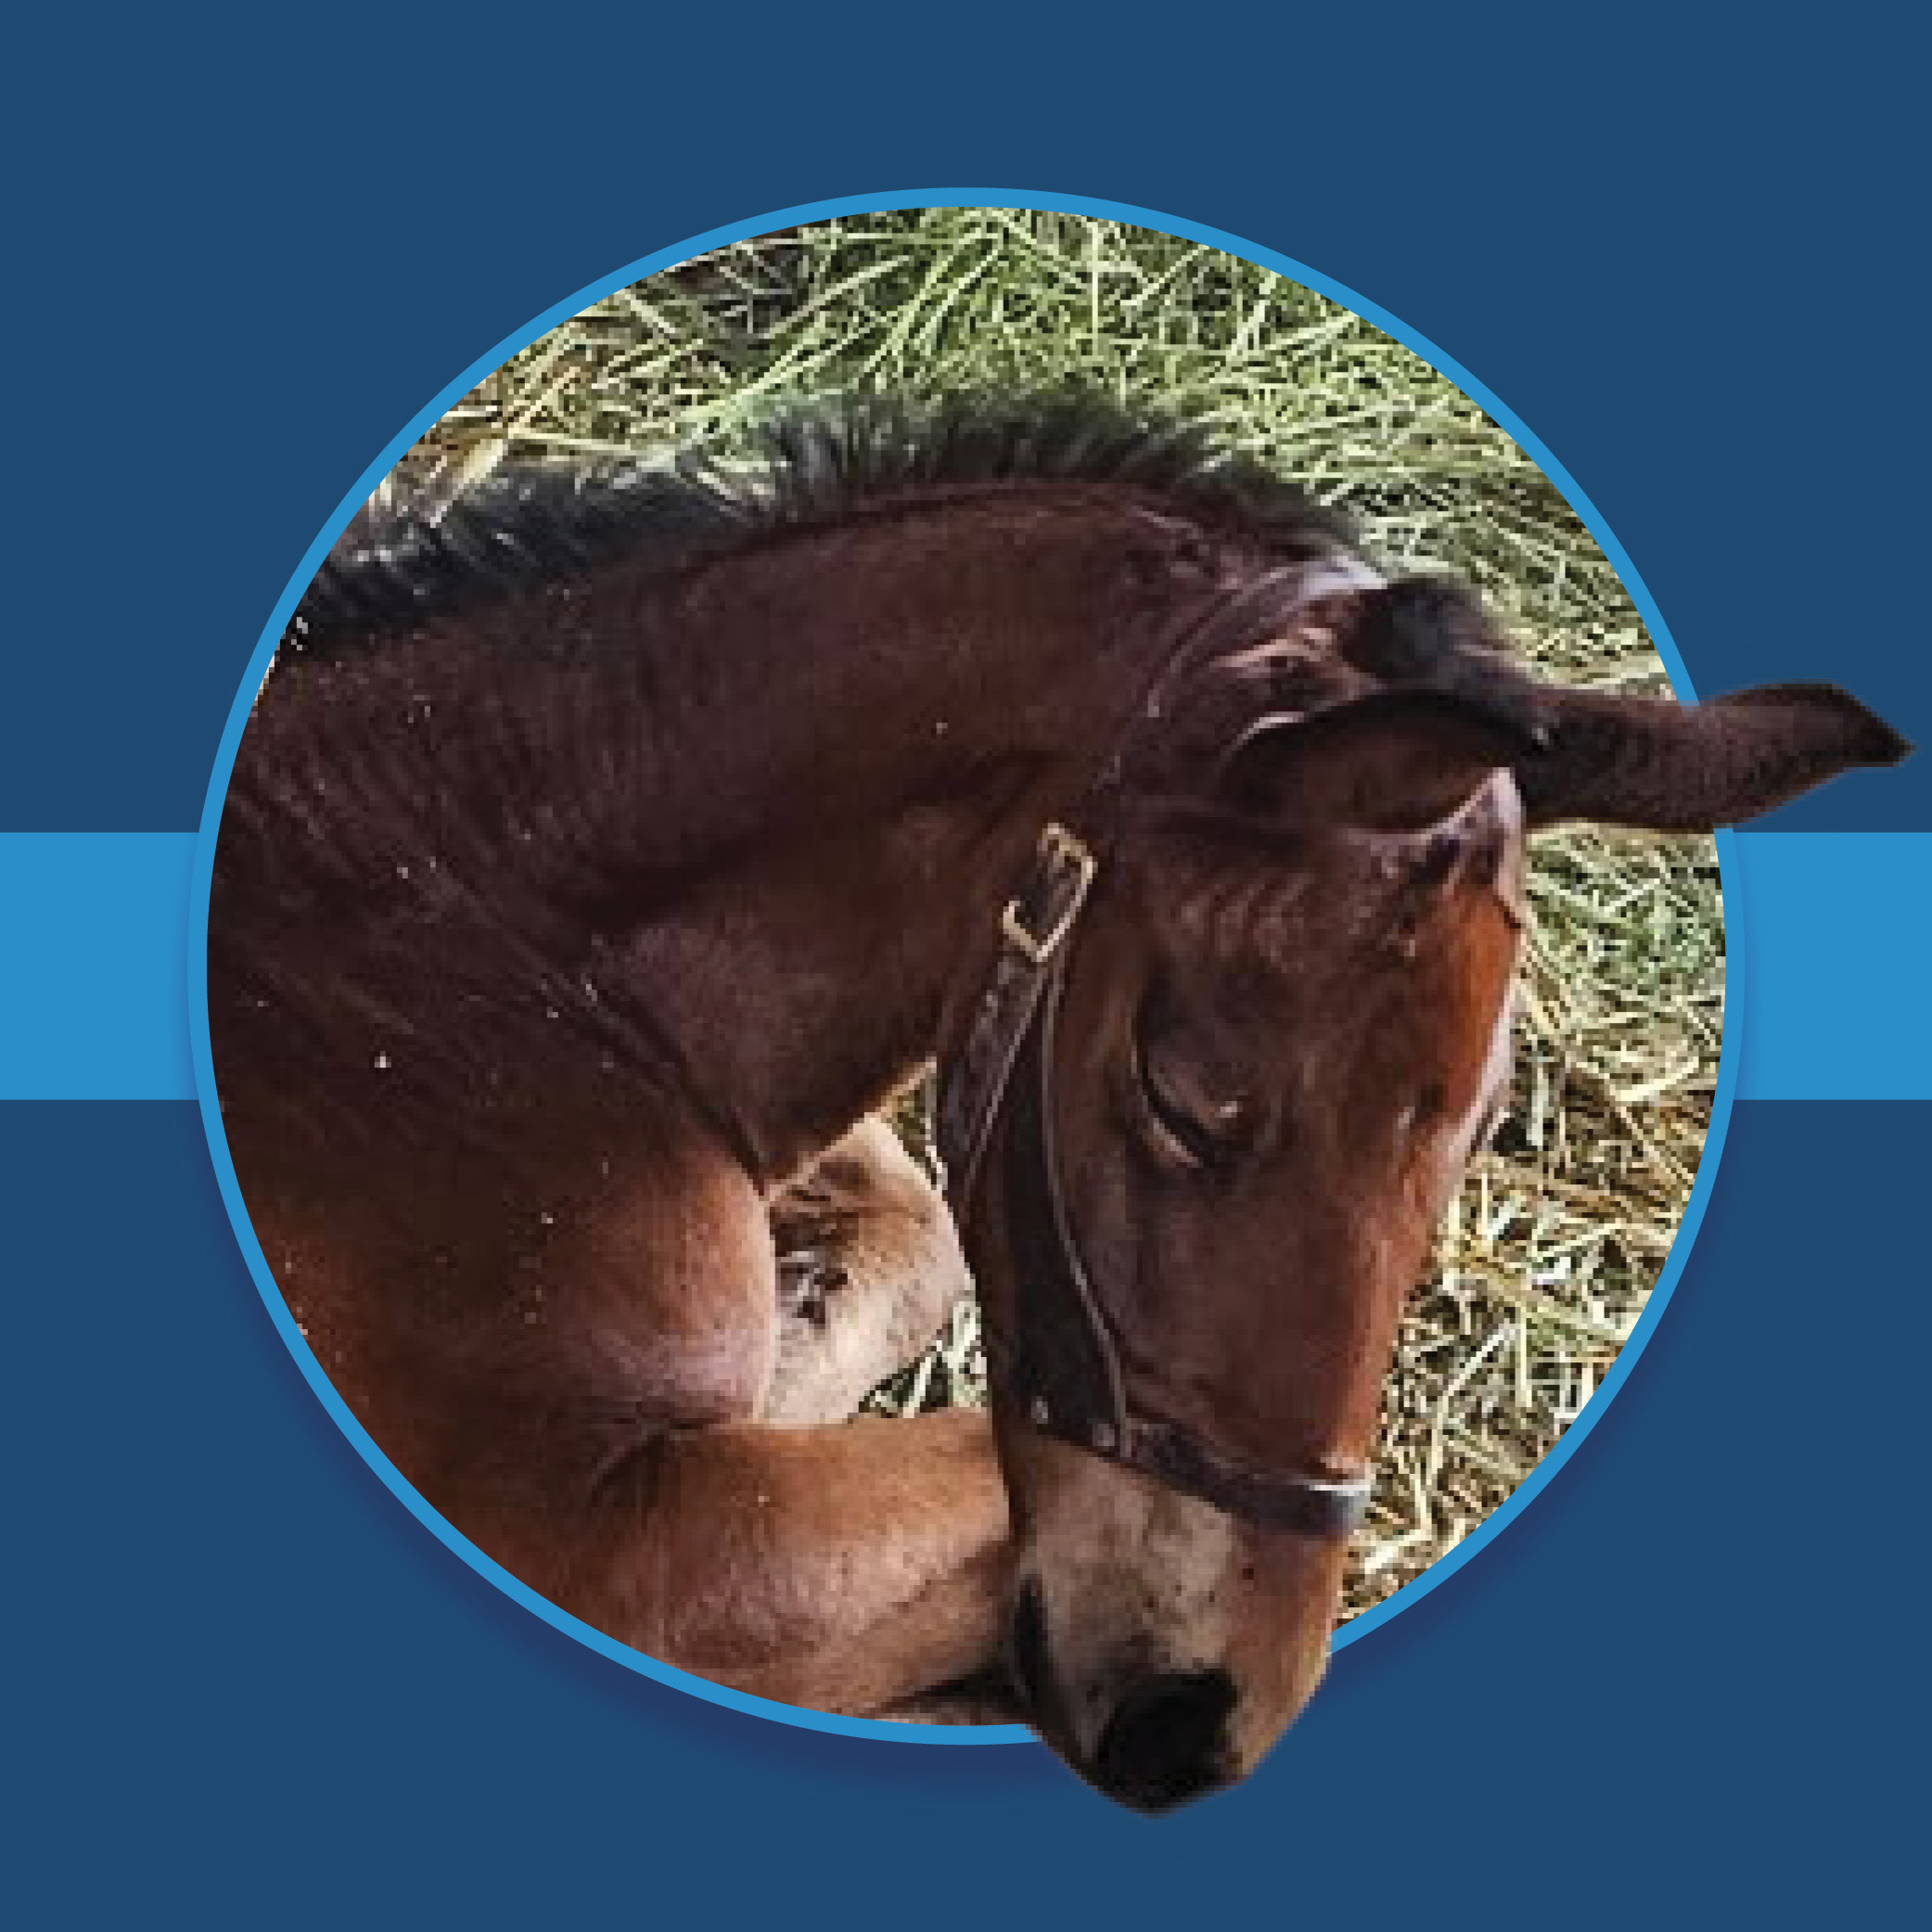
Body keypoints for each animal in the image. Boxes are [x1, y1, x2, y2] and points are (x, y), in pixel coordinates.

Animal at [209, 391, 1909, 1810]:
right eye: (1181, 1094)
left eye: (1480, 1132)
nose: (1190, 1724)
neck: (476, 948)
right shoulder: (607, 1551)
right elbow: (966, 1456)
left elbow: (912, 1243)